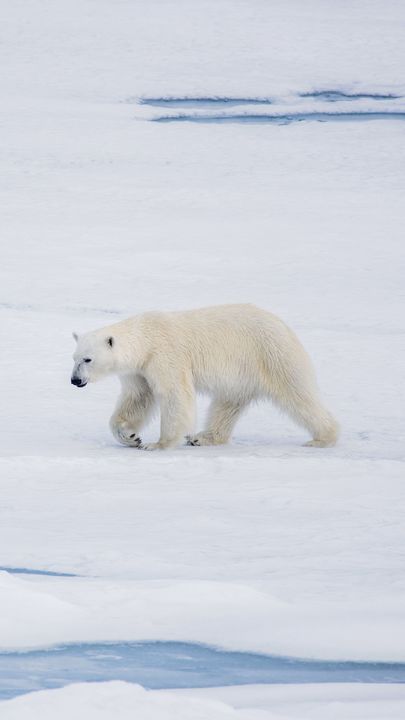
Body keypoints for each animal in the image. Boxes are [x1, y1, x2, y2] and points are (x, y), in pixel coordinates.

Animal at [71, 304, 336, 450]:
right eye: (74, 358)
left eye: (88, 359)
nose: (75, 381)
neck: (145, 339)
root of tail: (283, 325)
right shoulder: (138, 370)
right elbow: (137, 398)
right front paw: (131, 436)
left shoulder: (165, 355)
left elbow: (174, 395)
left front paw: (157, 444)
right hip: (241, 373)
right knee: (227, 404)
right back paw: (203, 437)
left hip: (271, 354)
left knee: (298, 394)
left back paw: (323, 438)